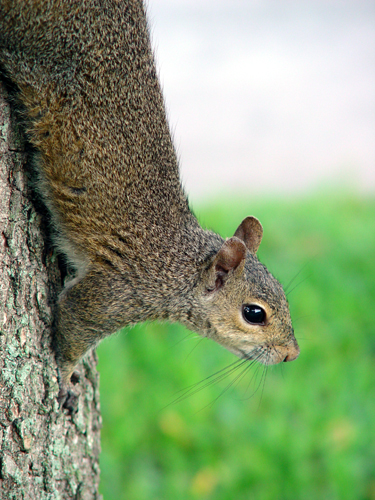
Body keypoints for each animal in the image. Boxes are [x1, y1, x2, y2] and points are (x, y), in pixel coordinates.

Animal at [0, 0, 300, 408]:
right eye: (254, 314)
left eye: (283, 293)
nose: (292, 354)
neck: (178, 266)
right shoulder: (117, 292)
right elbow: (73, 325)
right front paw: (64, 378)